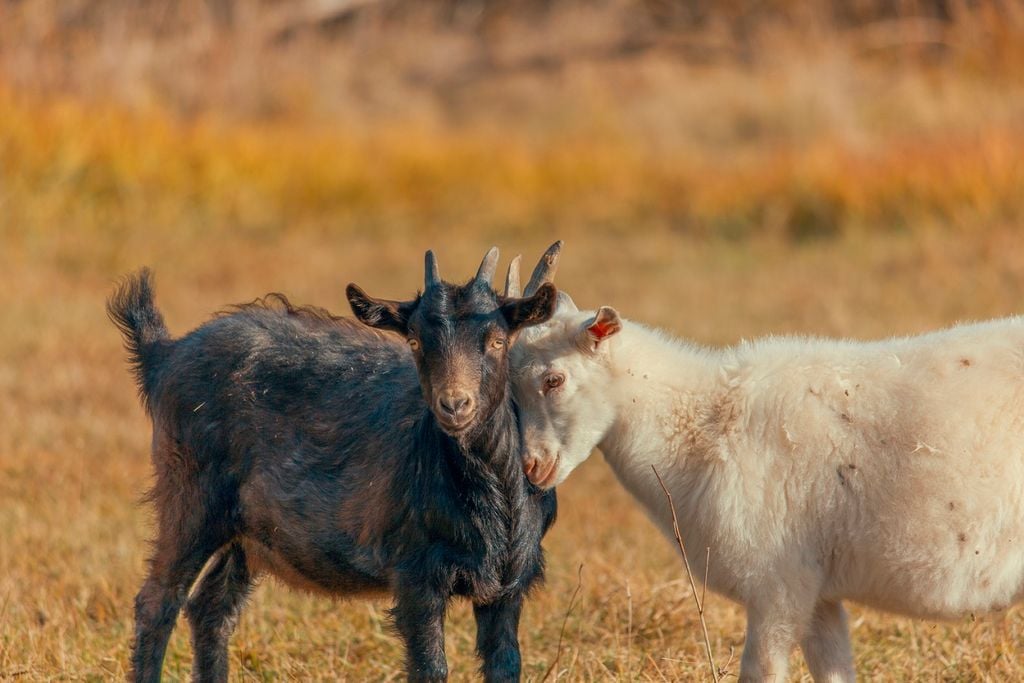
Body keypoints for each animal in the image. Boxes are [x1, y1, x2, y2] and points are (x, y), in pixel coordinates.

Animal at [105, 246, 561, 683]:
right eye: (414, 340)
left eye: (497, 340)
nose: (455, 405)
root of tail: (163, 355)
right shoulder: (415, 573)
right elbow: (430, 667)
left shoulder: (507, 584)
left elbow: (506, 665)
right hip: (189, 498)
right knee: (157, 602)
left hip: (247, 533)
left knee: (210, 608)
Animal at [512, 262, 1024, 679]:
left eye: (554, 380)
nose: (532, 467)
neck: (704, 424)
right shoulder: (818, 593)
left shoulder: (777, 583)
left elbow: (761, 672)